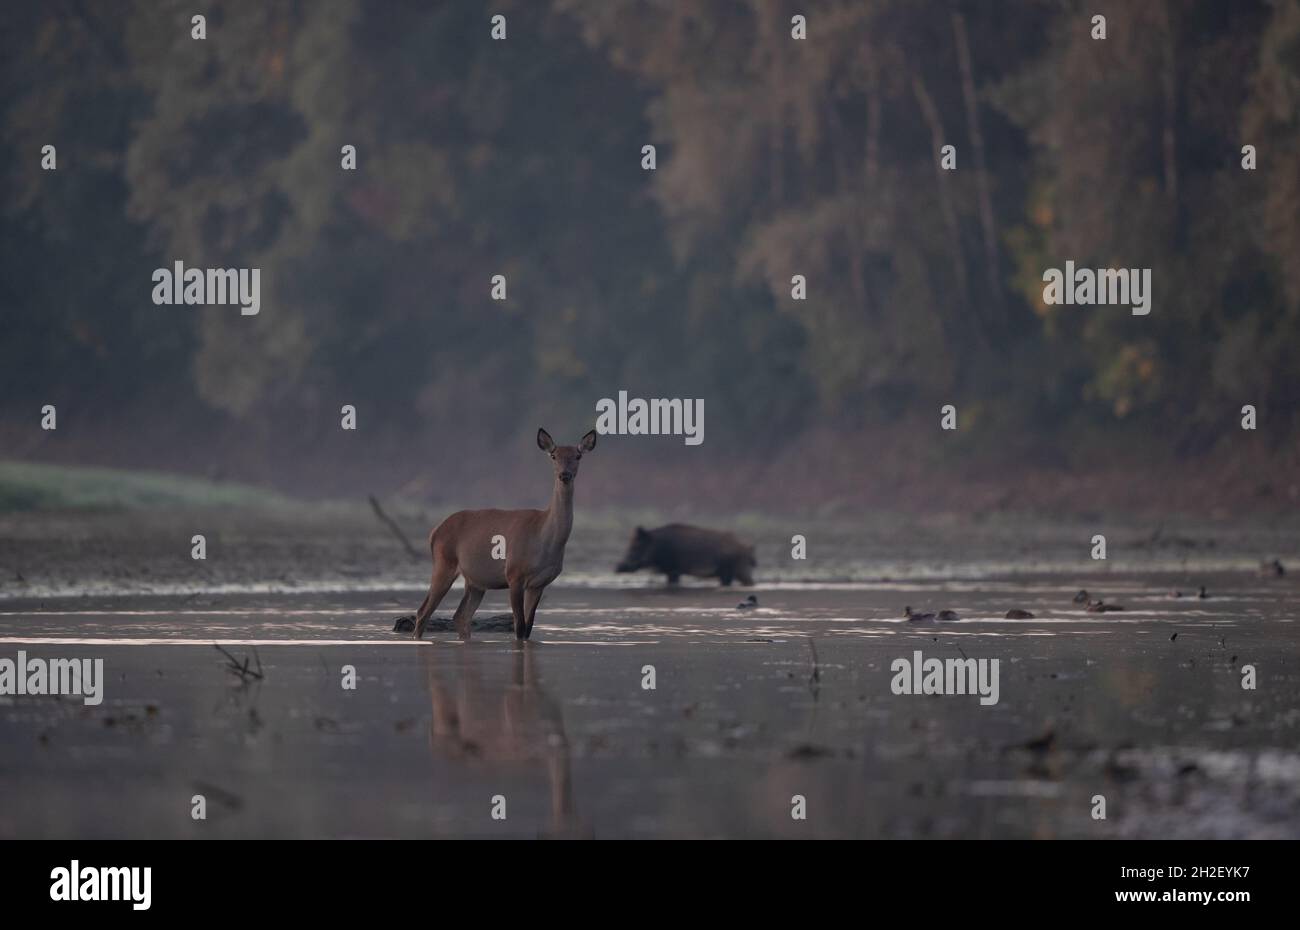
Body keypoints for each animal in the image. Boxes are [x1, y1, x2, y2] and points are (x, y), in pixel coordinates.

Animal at [409, 428, 597, 641]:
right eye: (554, 455)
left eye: (578, 455)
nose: (565, 475)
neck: (545, 541)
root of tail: (434, 532)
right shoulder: (514, 574)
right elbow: (519, 626)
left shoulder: (539, 583)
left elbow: (528, 628)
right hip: (444, 563)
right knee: (423, 611)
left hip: (475, 580)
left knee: (460, 615)